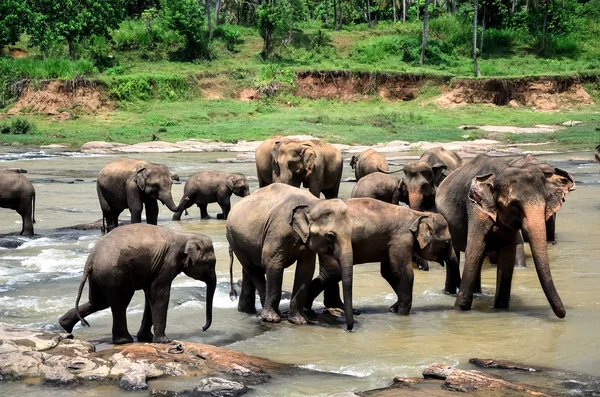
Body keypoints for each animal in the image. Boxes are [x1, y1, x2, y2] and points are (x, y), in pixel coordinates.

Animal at [58, 223, 217, 344]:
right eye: (211, 263)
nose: (203, 328)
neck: (186, 235)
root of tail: (91, 257)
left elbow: (150, 295)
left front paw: (146, 338)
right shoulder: (167, 263)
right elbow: (159, 294)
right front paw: (165, 341)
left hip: (99, 275)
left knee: (98, 302)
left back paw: (64, 325)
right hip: (114, 273)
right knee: (120, 302)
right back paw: (124, 341)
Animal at [308, 198, 458, 318]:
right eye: (447, 242)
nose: (453, 294)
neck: (417, 215)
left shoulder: (391, 243)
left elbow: (388, 272)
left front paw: (394, 308)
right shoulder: (401, 239)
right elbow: (402, 272)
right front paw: (402, 313)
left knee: (331, 275)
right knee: (333, 273)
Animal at [436, 153, 572, 318]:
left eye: (546, 202)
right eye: (514, 205)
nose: (563, 313)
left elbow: (507, 255)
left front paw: (500, 308)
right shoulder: (475, 208)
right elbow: (475, 249)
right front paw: (459, 310)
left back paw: (478, 294)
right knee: (455, 254)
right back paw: (450, 293)